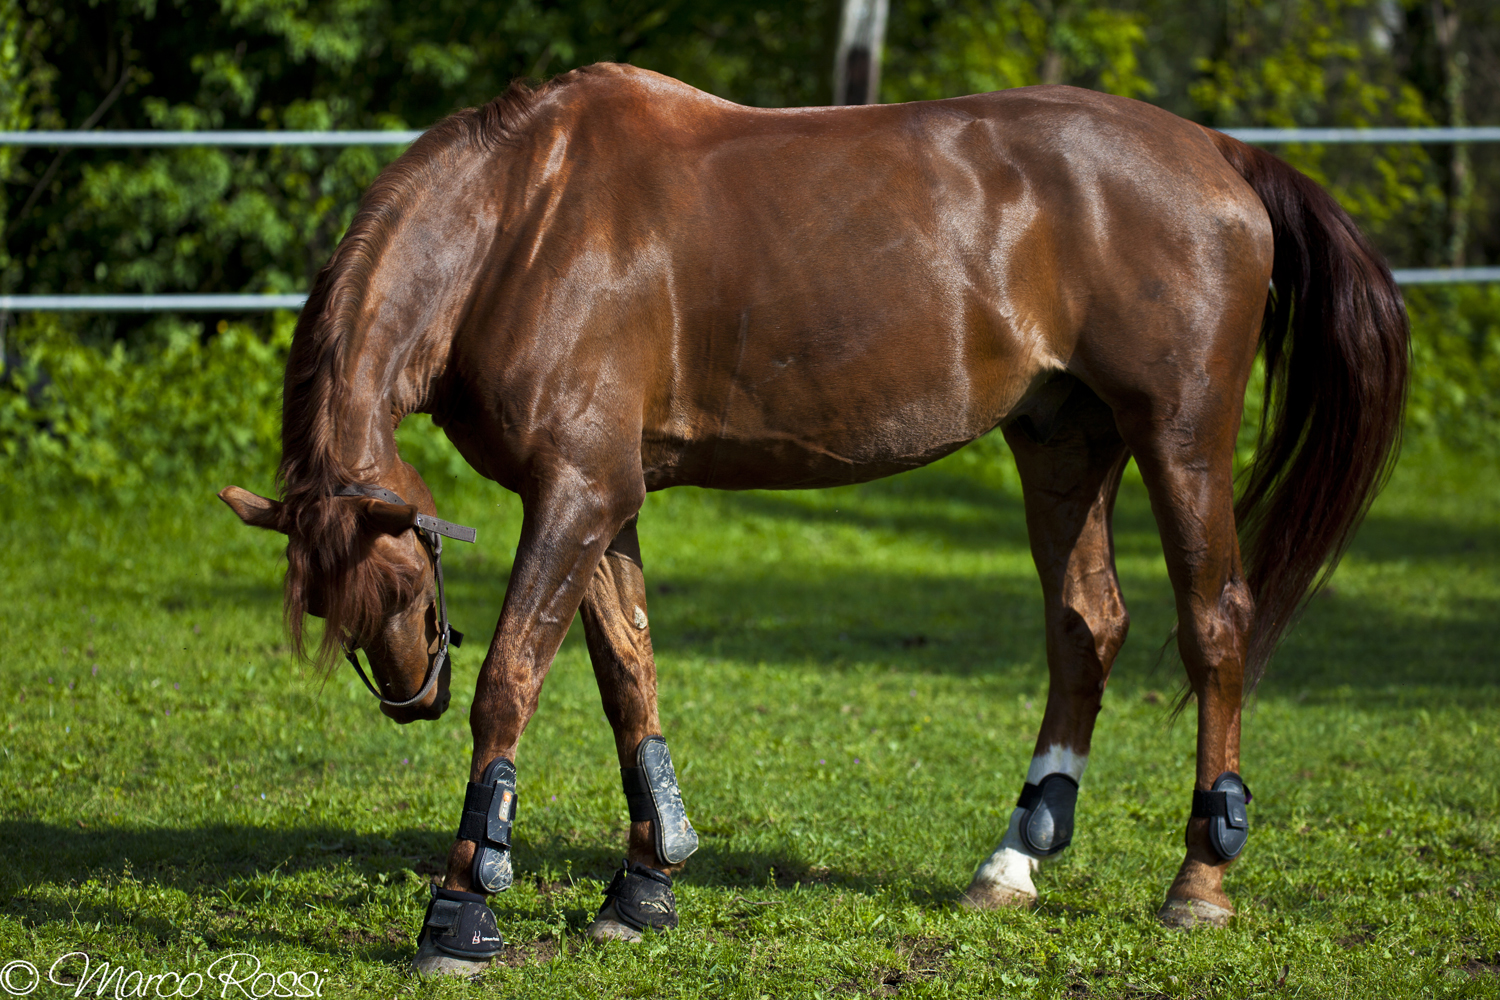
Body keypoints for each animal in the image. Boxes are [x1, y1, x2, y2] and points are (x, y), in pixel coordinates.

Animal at [219, 63, 1408, 975]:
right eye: (331, 604)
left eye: (403, 577)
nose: (411, 692)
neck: (523, 220)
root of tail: (1221, 154)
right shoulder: (607, 497)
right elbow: (628, 677)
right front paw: (644, 884)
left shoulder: (577, 493)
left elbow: (514, 681)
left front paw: (463, 907)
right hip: (1063, 441)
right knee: (1088, 627)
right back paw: (1012, 859)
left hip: (1180, 436)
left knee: (1215, 626)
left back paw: (1199, 878)